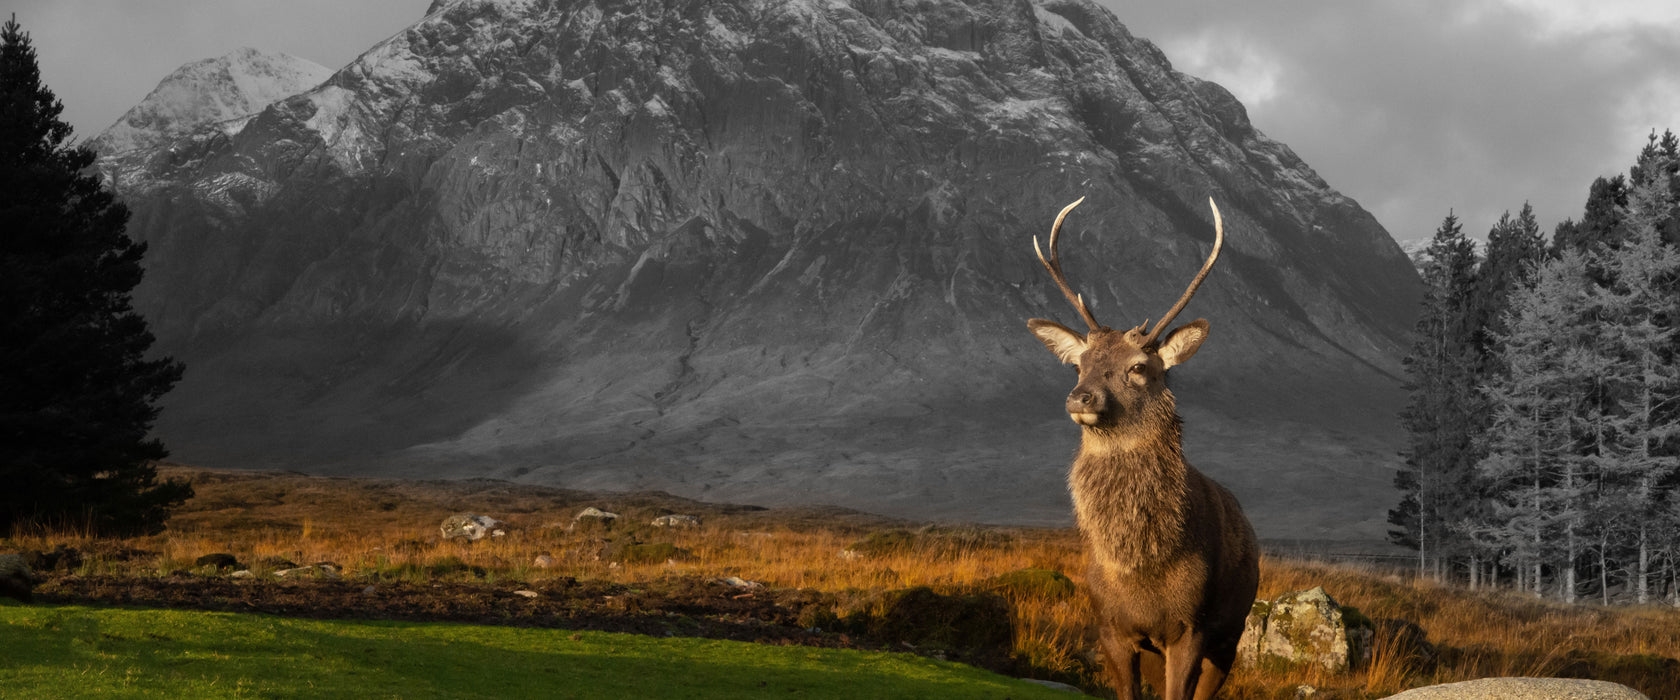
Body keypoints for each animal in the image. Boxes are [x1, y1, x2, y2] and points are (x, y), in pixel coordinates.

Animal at [1021, 196, 1263, 698]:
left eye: (1137, 367)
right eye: (1078, 364)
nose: (1081, 397)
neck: (1140, 569)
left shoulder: (1190, 629)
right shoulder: (1111, 628)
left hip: (1231, 633)